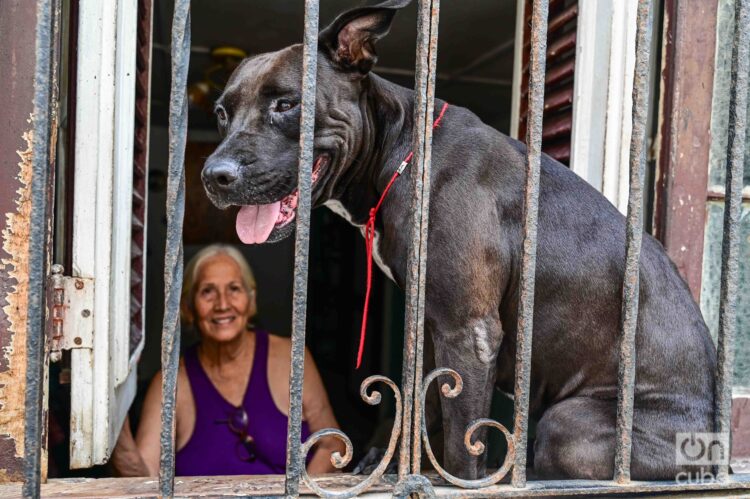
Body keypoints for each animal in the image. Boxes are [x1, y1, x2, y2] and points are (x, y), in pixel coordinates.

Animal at [203, 0, 720, 484]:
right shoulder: (433, 323)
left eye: (286, 104)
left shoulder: (468, 330)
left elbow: (460, 440)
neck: (402, 153)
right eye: (221, 114)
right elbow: (422, 400)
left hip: (570, 426)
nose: (214, 176)